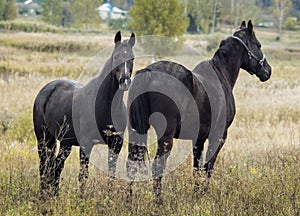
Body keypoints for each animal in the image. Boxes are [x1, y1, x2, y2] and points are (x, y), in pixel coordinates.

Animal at [33, 31, 135, 197]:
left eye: (132, 58)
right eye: (116, 57)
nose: (124, 81)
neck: (105, 105)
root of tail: (46, 90)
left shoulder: (116, 144)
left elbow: (111, 173)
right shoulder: (86, 144)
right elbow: (83, 174)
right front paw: (81, 198)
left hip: (65, 143)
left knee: (56, 166)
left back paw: (55, 195)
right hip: (43, 138)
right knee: (44, 165)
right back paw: (43, 194)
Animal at [126, 20, 272, 202]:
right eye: (258, 45)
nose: (268, 71)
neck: (220, 75)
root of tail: (149, 72)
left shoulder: (199, 138)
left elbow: (196, 168)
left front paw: (196, 195)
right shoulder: (219, 136)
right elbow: (208, 166)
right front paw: (204, 193)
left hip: (136, 130)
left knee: (132, 163)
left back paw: (129, 201)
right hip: (165, 137)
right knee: (157, 167)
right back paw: (158, 201)